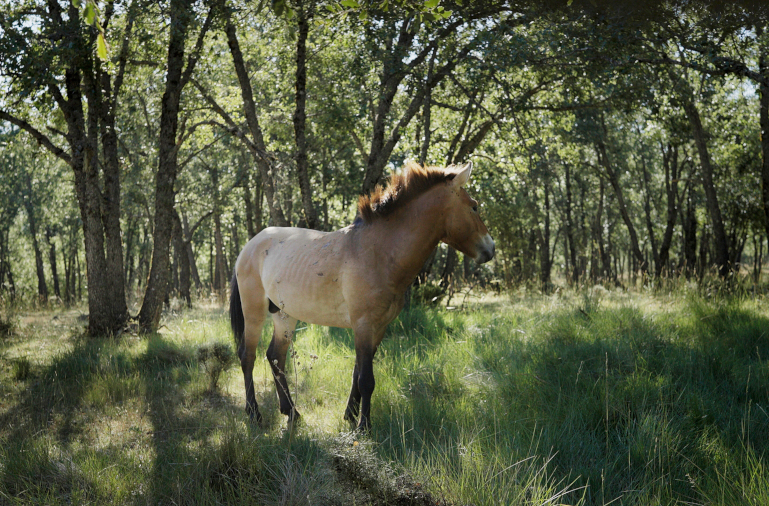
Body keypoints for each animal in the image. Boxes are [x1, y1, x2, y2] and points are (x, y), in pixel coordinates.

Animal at [229, 161, 495, 431]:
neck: (379, 251)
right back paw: (254, 413)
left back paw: (291, 411)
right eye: (474, 206)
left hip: (284, 315)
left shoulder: (378, 327)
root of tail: (249, 245)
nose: (490, 249)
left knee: (276, 357)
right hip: (254, 312)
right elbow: (366, 378)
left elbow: (357, 374)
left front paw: (350, 415)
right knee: (247, 356)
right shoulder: (364, 325)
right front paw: (363, 426)